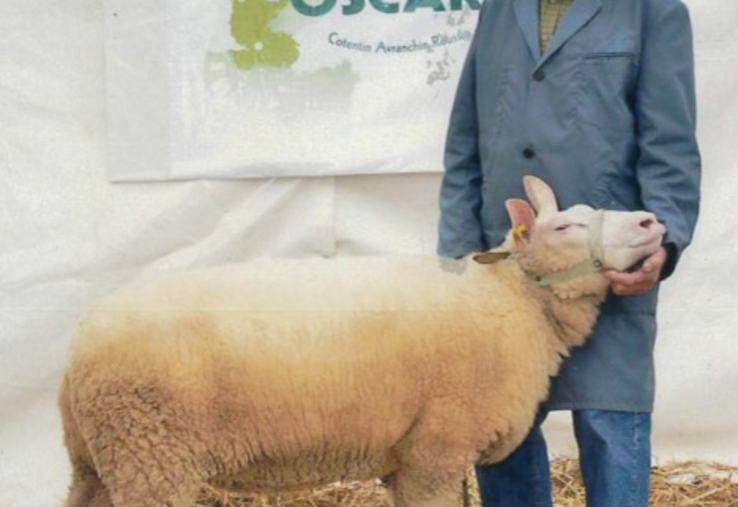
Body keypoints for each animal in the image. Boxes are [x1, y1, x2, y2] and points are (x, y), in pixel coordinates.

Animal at [60, 176, 664, 507]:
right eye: (563, 228)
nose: (650, 221)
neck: (507, 300)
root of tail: (79, 348)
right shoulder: (434, 451)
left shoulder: (409, 457)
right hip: (150, 454)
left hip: (102, 459)